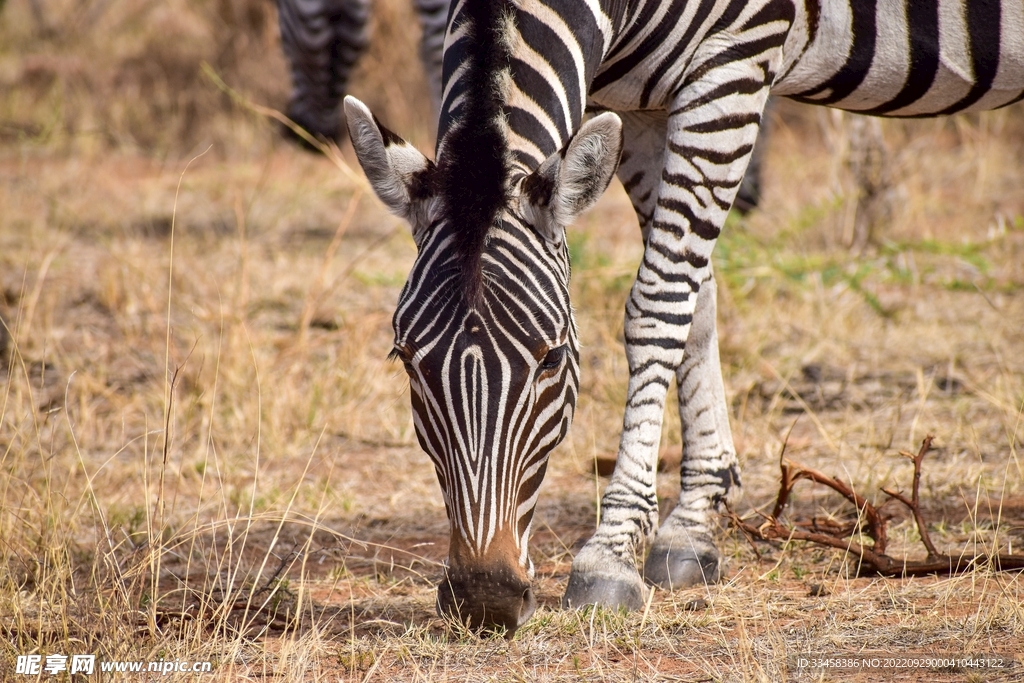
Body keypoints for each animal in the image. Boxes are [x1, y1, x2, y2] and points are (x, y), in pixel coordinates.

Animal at [337, 0, 1024, 634]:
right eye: (405, 360)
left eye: (552, 358)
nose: (485, 600)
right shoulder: (636, 104)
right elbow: (697, 296)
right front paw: (693, 524)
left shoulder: (735, 61)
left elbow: (660, 299)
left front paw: (610, 555)